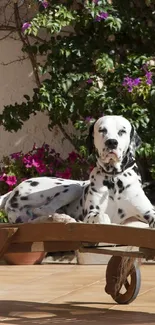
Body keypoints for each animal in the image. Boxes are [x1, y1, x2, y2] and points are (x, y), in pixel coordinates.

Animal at [0, 114, 155, 228]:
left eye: (122, 131)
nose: (111, 142)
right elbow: (101, 216)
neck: (114, 178)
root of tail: (11, 193)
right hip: (73, 187)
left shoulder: (148, 211)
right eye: (102, 130)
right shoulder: (92, 212)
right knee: (45, 209)